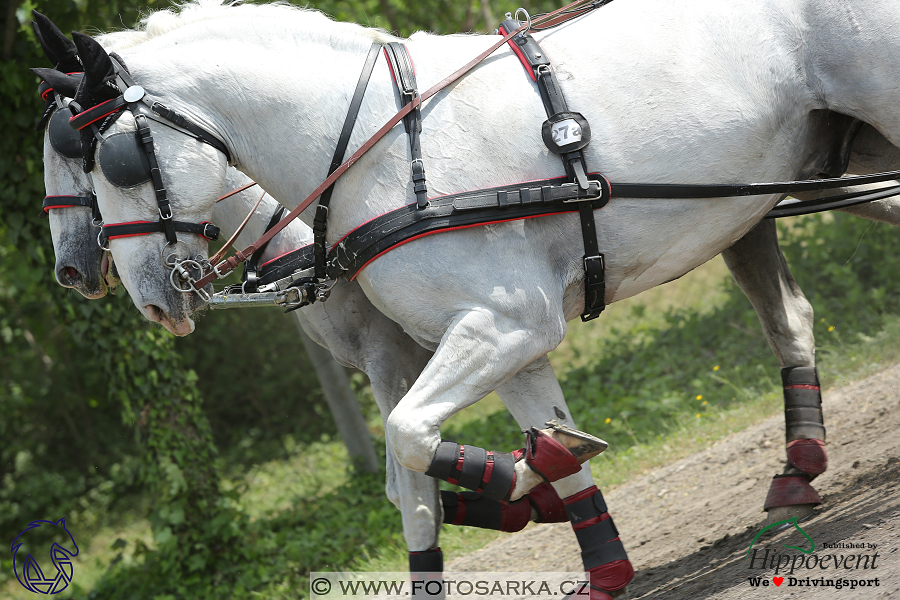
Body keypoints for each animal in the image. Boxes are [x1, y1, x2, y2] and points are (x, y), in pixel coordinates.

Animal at [49, 2, 900, 596]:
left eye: (109, 161)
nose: (137, 294)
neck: (380, 154)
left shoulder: (498, 324)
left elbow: (407, 445)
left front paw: (515, 487)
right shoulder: (504, 339)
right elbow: (515, 450)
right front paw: (579, 533)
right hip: (792, 189)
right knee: (793, 320)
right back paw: (796, 475)